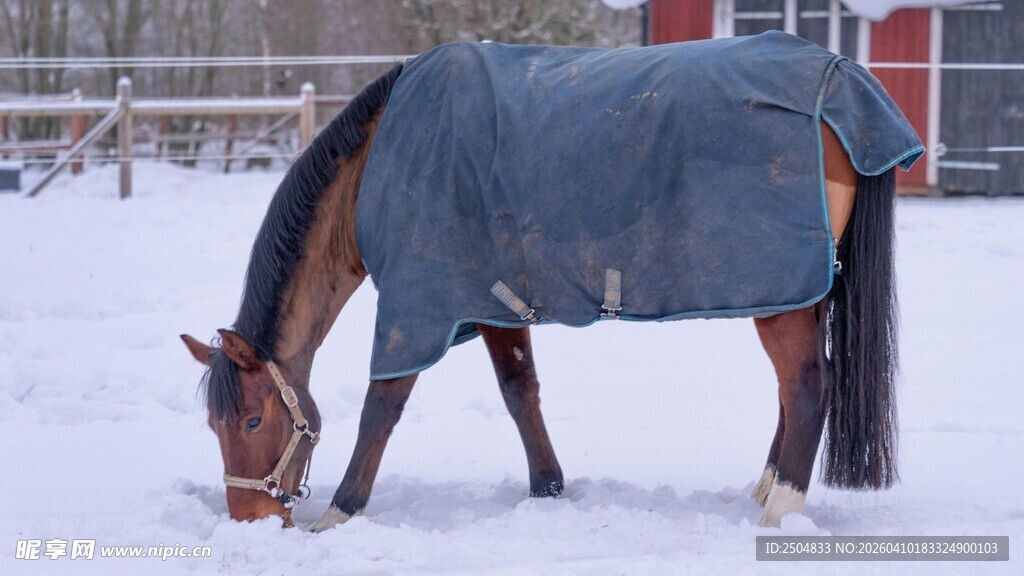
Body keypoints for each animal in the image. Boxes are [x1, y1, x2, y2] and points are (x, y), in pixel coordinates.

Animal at [181, 33, 919, 531]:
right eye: (213, 423)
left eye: (253, 418)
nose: (248, 518)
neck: (378, 164)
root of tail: (842, 80)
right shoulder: (493, 299)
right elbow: (520, 392)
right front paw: (548, 490)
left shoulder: (416, 305)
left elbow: (382, 406)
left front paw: (342, 512)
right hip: (800, 292)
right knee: (796, 391)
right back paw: (766, 491)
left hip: (783, 296)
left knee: (807, 388)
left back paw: (780, 511)